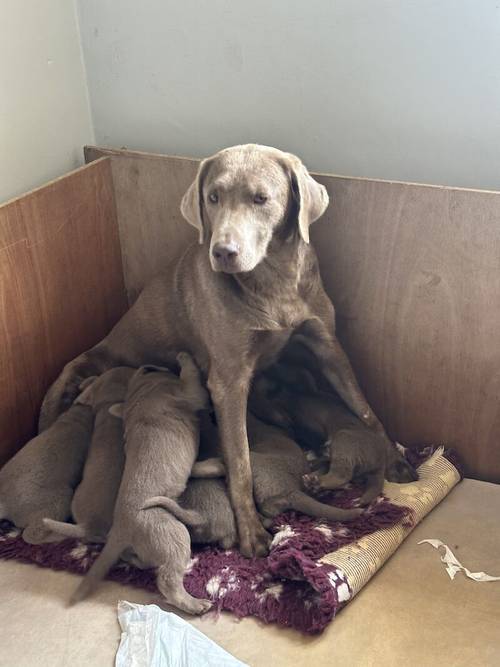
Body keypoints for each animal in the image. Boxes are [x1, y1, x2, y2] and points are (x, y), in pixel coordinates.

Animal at [70, 354, 211, 616]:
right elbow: (192, 379)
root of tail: (120, 530)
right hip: (172, 534)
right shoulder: (187, 393)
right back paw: (195, 604)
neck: (141, 393)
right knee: (168, 580)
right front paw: (184, 357)